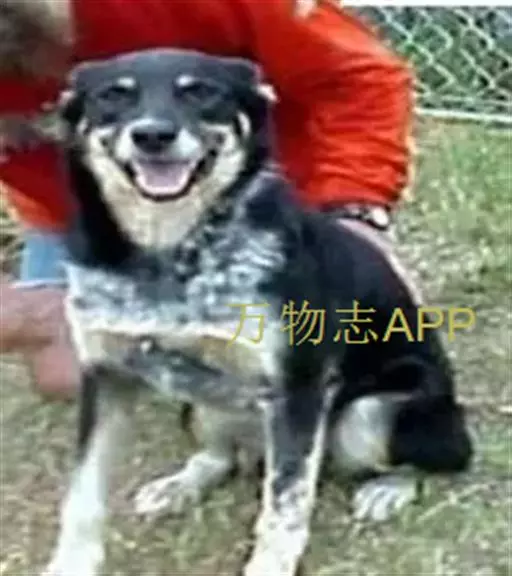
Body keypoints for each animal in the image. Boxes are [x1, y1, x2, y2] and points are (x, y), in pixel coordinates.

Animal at [41, 48, 473, 576]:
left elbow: (284, 507)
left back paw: (387, 489)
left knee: (431, 461)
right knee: (219, 455)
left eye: (200, 91)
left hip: (369, 416)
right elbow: (83, 495)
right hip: (202, 405)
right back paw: (179, 486)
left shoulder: (298, 387)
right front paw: (69, 565)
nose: (153, 136)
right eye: (113, 95)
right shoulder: (106, 376)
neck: (169, 254)